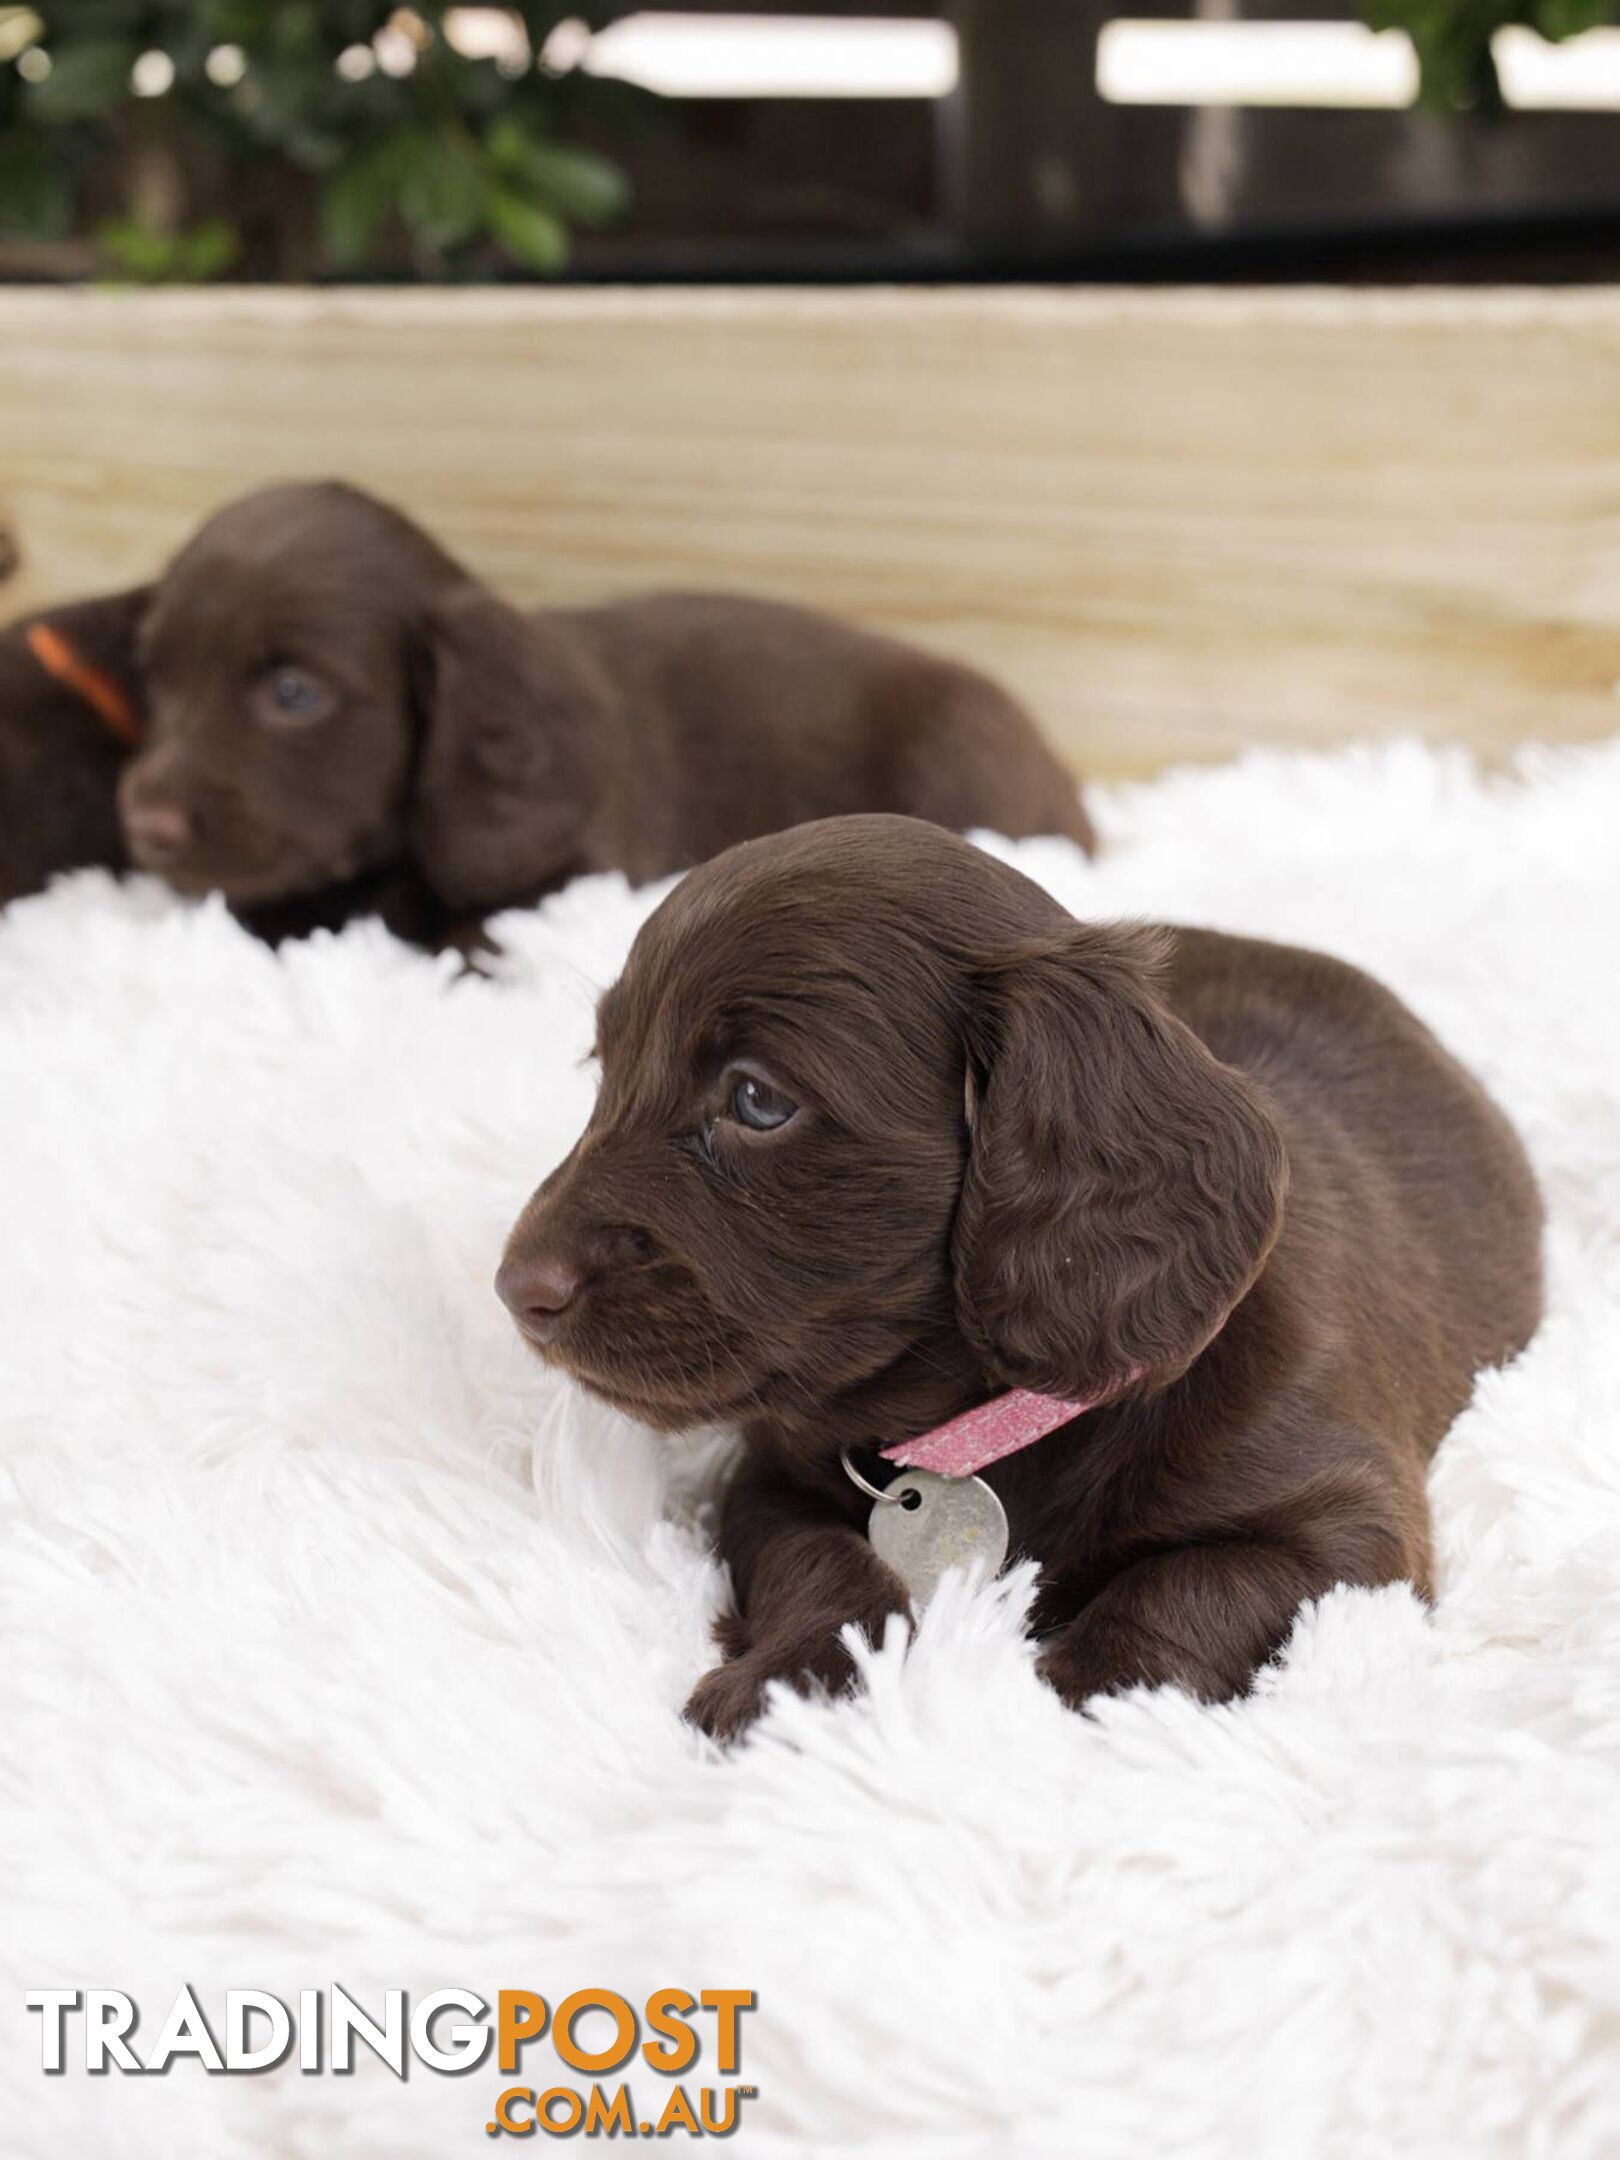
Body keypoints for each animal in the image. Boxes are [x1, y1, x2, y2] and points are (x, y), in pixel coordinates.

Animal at [505, 812, 1546, 1736]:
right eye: (604, 1067)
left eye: (759, 1100)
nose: (516, 1291)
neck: (987, 1424)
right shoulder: (767, 1475)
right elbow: (820, 1559)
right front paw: (791, 1681)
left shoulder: (1355, 1530)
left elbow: (1195, 1579)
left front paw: (1077, 1693)